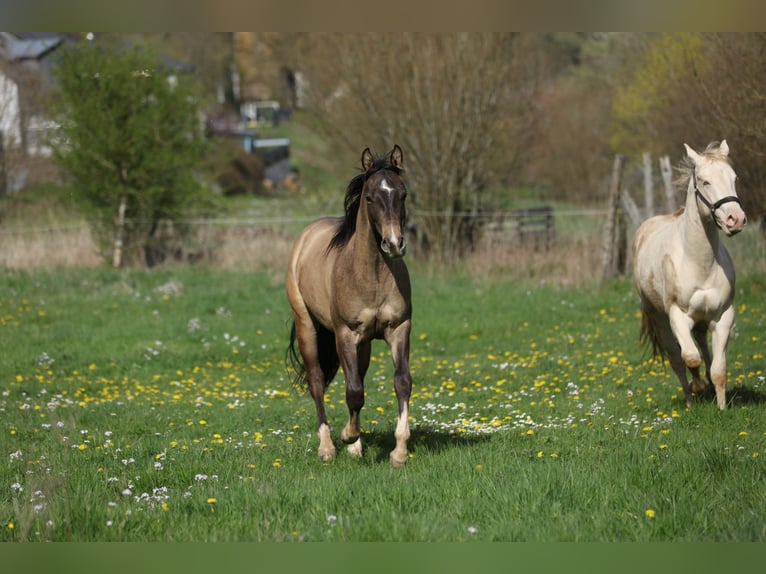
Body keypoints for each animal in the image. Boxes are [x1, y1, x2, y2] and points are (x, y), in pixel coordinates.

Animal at [285, 145, 412, 466]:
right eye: (369, 197)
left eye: (403, 194)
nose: (394, 244)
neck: (372, 275)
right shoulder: (345, 333)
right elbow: (354, 391)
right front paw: (347, 435)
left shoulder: (399, 329)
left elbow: (401, 382)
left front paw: (398, 452)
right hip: (307, 326)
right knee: (318, 380)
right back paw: (328, 447)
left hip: (364, 342)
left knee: (354, 377)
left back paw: (355, 448)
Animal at [632, 140, 747, 409]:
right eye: (705, 181)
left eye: (734, 178)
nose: (735, 219)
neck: (699, 263)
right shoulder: (678, 316)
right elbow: (690, 358)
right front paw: (698, 387)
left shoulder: (723, 315)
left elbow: (719, 369)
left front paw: (721, 406)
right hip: (660, 319)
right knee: (677, 358)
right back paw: (690, 401)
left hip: (703, 320)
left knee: (703, 346)